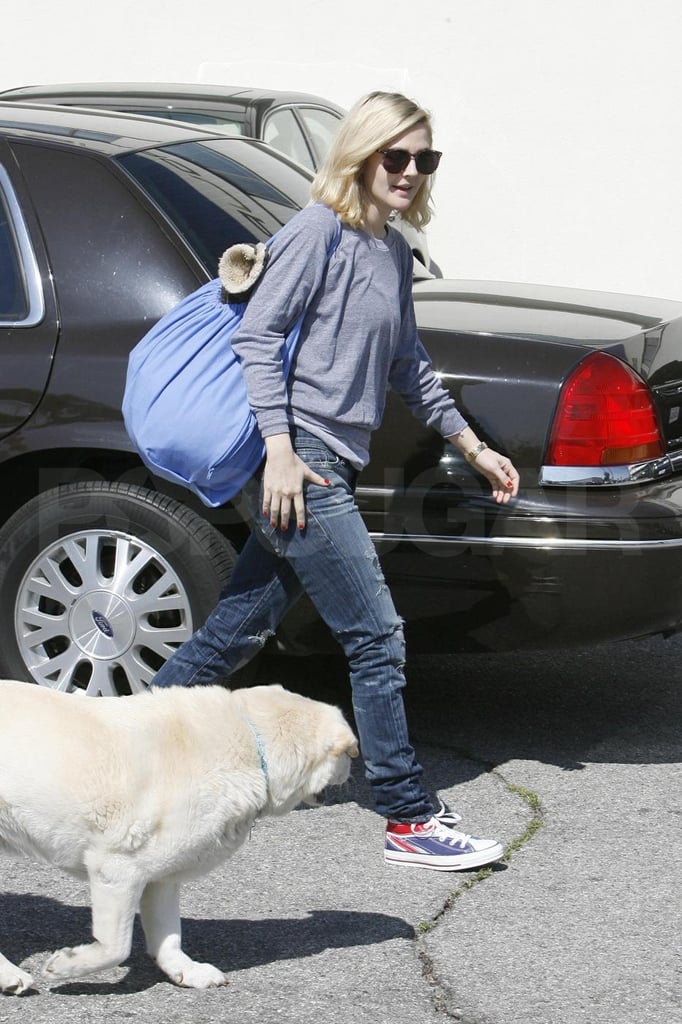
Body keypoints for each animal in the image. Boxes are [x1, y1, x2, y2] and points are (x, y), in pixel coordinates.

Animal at [0, 679, 358, 991]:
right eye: (348, 756)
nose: (354, 772)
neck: (251, 742)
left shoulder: (161, 876)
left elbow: (169, 936)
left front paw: (185, 971)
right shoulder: (116, 868)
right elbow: (116, 947)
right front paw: (65, 966)